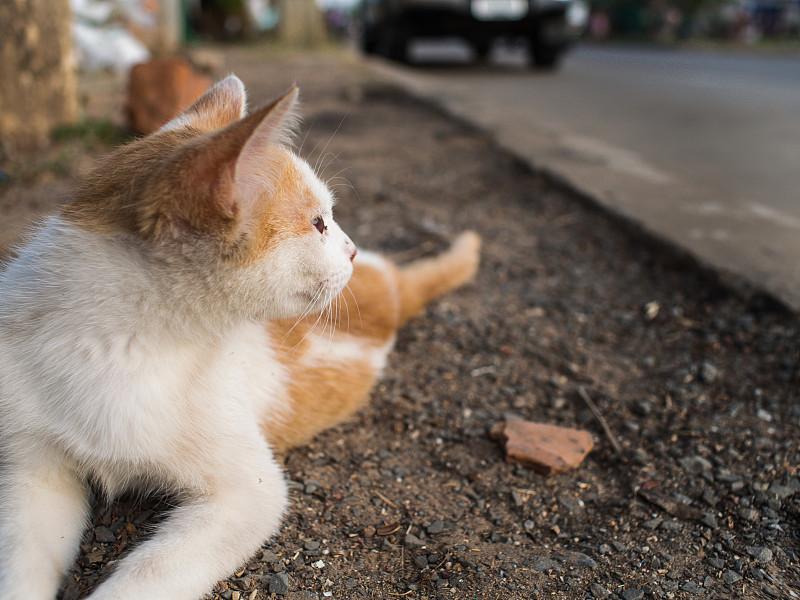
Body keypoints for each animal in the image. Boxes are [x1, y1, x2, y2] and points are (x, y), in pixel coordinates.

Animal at [0, 76, 478, 600]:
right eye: (318, 223)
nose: (350, 250)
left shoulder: (252, 493)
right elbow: (23, 555)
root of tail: (390, 283)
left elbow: (150, 574)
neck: (113, 348)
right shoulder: (34, 470)